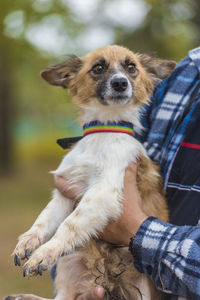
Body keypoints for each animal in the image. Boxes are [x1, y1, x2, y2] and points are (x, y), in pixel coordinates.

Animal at [6, 45, 176, 300]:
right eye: (98, 68)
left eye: (131, 67)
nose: (120, 83)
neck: (103, 131)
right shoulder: (65, 192)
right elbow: (44, 218)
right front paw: (28, 241)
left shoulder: (103, 191)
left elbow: (69, 225)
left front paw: (44, 252)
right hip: (68, 264)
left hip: (143, 287)